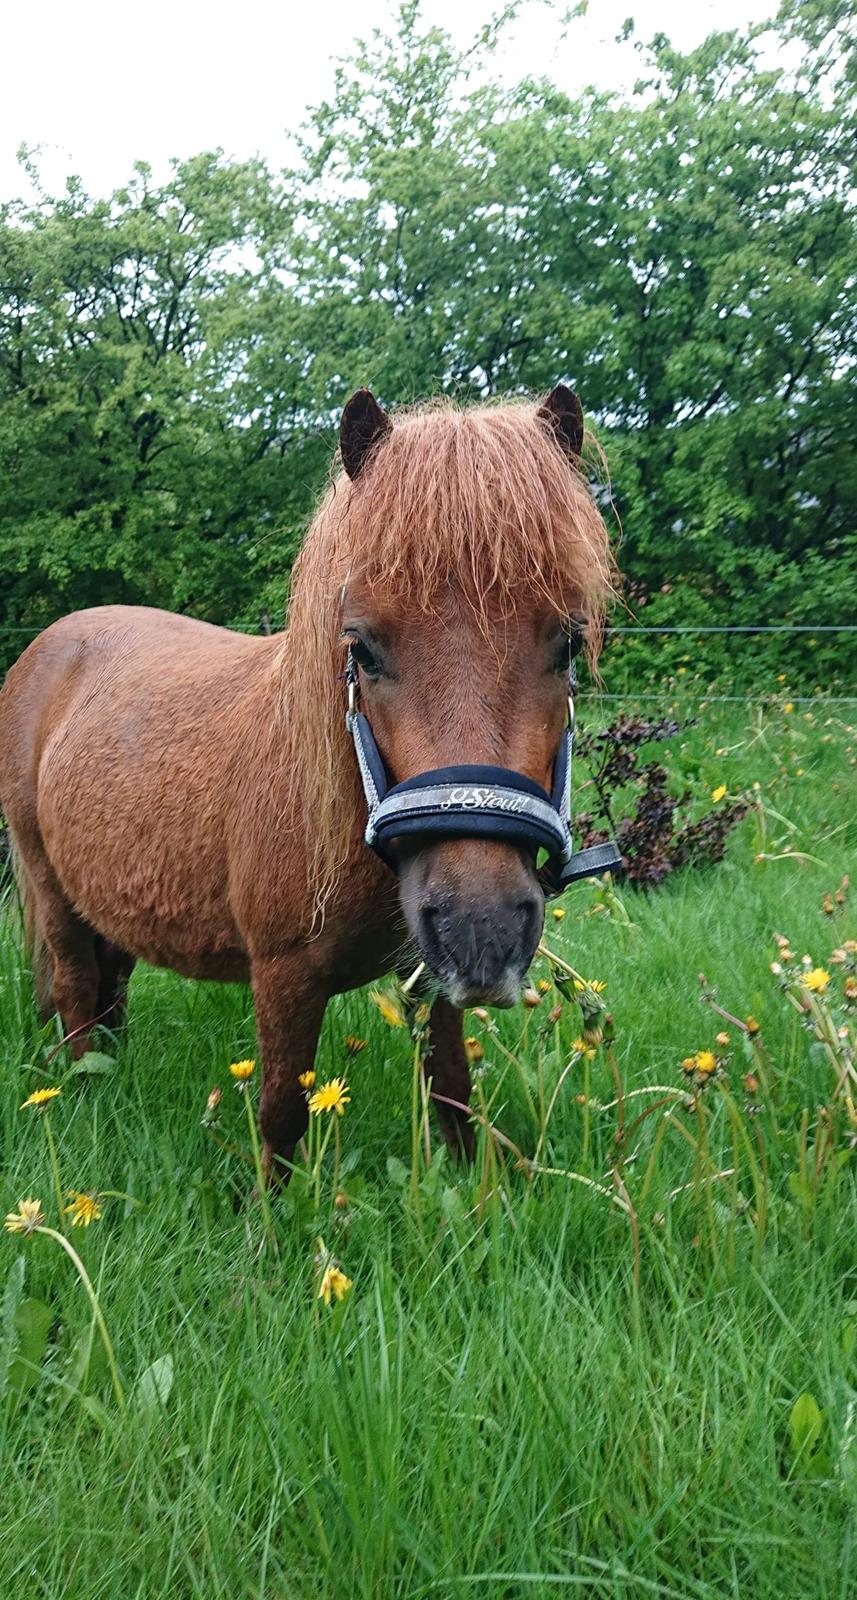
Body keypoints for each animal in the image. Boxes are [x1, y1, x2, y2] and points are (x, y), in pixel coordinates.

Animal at [1, 380, 617, 1171]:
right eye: (363, 648)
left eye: (567, 641)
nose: (484, 929)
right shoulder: (283, 977)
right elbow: (282, 1115)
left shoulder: (434, 973)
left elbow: (451, 1093)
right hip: (51, 888)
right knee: (79, 994)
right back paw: (85, 1103)